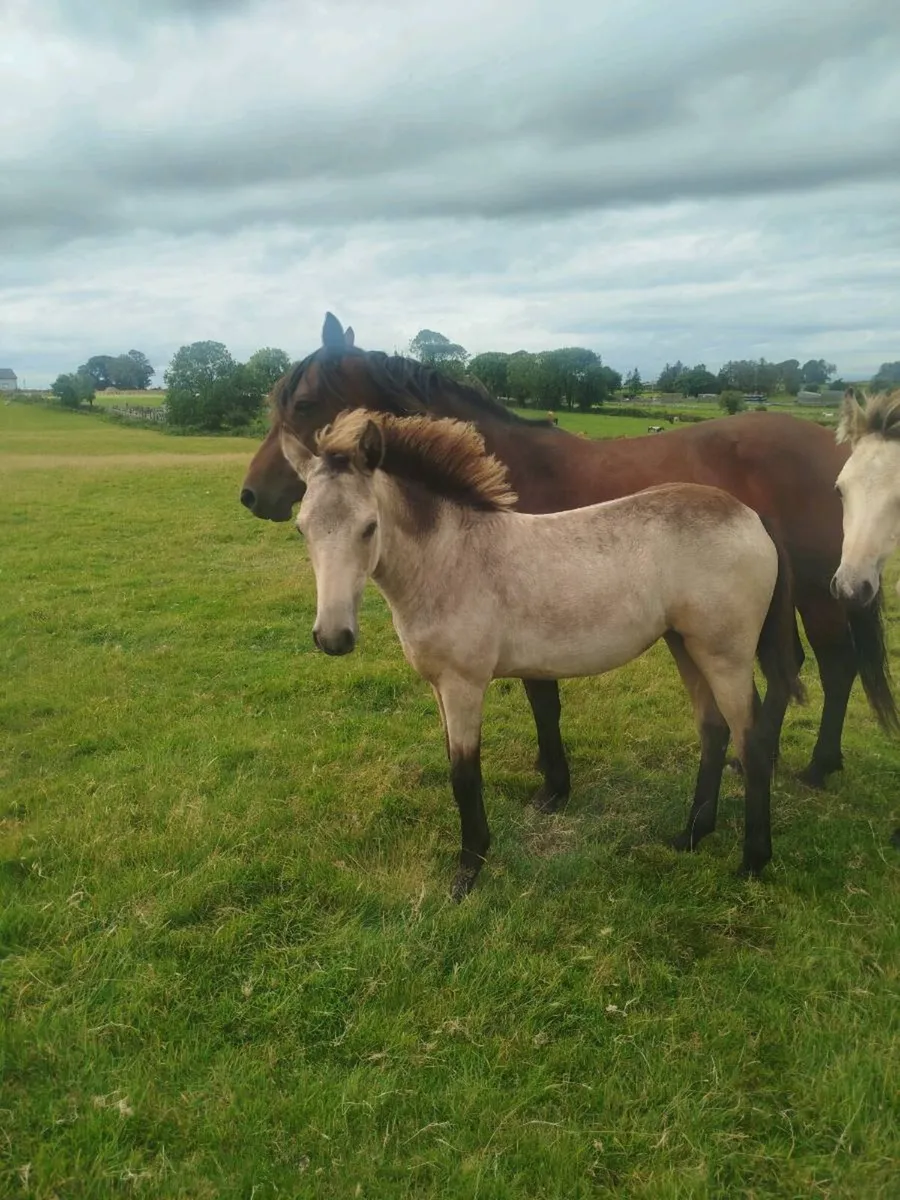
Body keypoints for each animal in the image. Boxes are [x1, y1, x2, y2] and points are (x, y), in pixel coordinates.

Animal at [240, 313, 895, 813]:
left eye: (303, 402)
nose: (251, 495)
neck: (506, 472)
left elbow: (543, 700)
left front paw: (554, 785)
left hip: (820, 592)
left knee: (837, 666)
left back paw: (817, 765)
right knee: (791, 671)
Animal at [282, 410, 803, 898]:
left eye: (369, 527)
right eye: (302, 528)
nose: (333, 638)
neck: (451, 559)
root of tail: (752, 517)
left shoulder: (464, 685)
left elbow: (464, 774)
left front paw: (468, 871)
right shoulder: (439, 688)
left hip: (726, 656)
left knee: (752, 742)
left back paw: (752, 861)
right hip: (686, 646)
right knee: (714, 731)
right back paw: (691, 836)